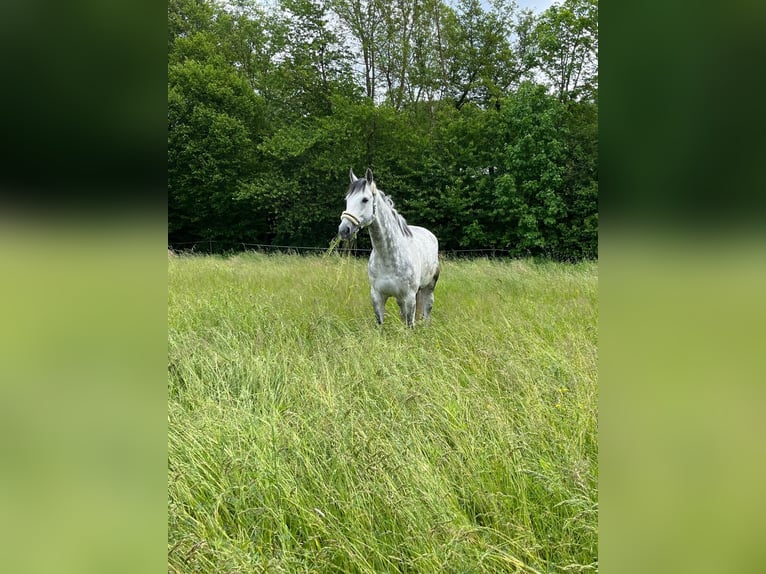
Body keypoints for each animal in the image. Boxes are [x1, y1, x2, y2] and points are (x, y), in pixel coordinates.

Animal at [340, 169, 440, 326]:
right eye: (347, 200)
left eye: (365, 199)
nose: (344, 230)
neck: (389, 256)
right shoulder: (377, 297)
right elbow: (381, 324)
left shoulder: (410, 298)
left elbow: (410, 324)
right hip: (401, 299)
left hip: (428, 288)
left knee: (427, 310)